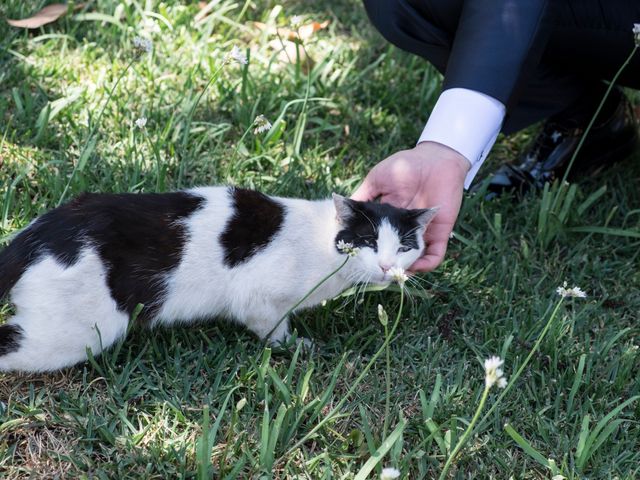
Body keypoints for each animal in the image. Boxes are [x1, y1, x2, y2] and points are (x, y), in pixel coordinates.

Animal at [0, 187, 436, 372]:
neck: (321, 241)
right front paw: (294, 346)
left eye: (404, 246)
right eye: (368, 242)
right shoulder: (258, 298)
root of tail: (34, 235)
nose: (387, 267)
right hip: (79, 334)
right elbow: (272, 328)